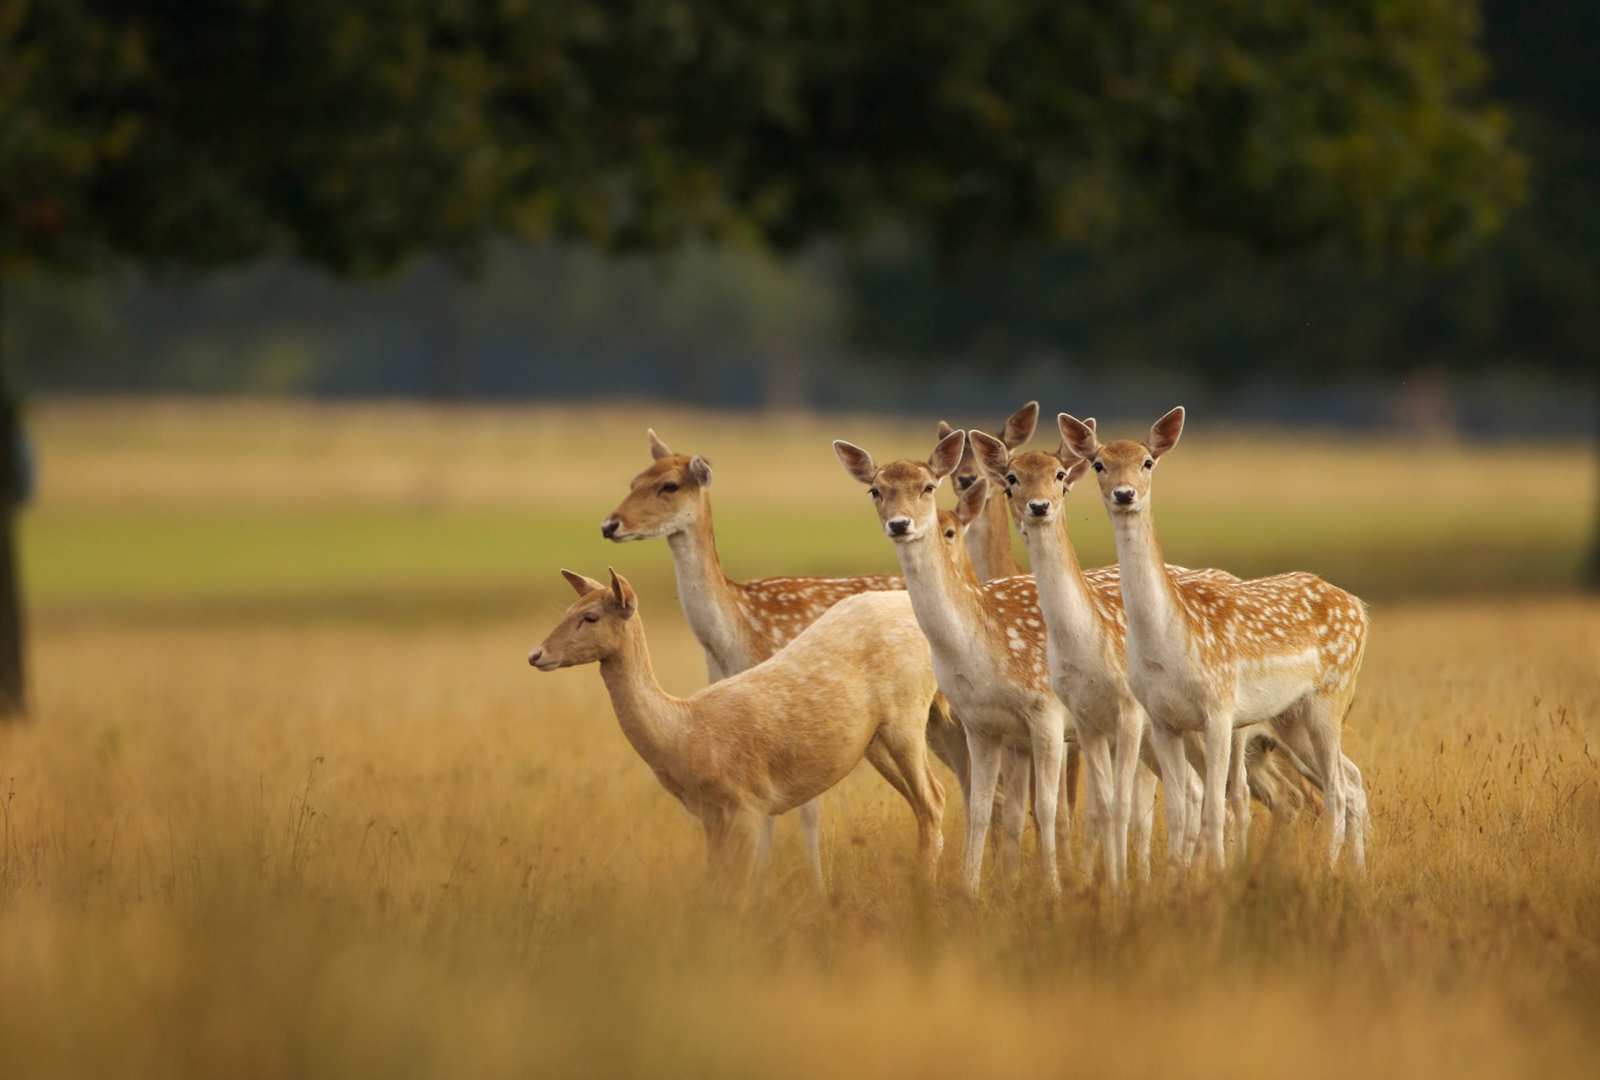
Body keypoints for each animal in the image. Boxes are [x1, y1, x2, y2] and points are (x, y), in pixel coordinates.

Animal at [528, 569, 946, 889]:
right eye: (569, 609)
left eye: (591, 617)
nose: (536, 654)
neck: (684, 735)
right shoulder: (710, 815)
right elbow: (716, 884)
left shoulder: (747, 803)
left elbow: (738, 891)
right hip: (874, 740)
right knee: (926, 802)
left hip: (907, 715)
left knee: (933, 798)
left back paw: (923, 891)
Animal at [1059, 407, 1371, 873]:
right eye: (1099, 463)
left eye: (1147, 462)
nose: (1125, 494)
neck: (1170, 641)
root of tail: (1359, 607)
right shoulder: (1162, 719)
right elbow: (1177, 809)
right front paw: (1178, 877)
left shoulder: (1220, 708)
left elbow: (1212, 807)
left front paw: (1217, 875)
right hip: (1291, 716)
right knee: (1349, 781)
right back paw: (1357, 869)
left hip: (1330, 697)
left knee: (1335, 788)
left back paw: (1330, 870)